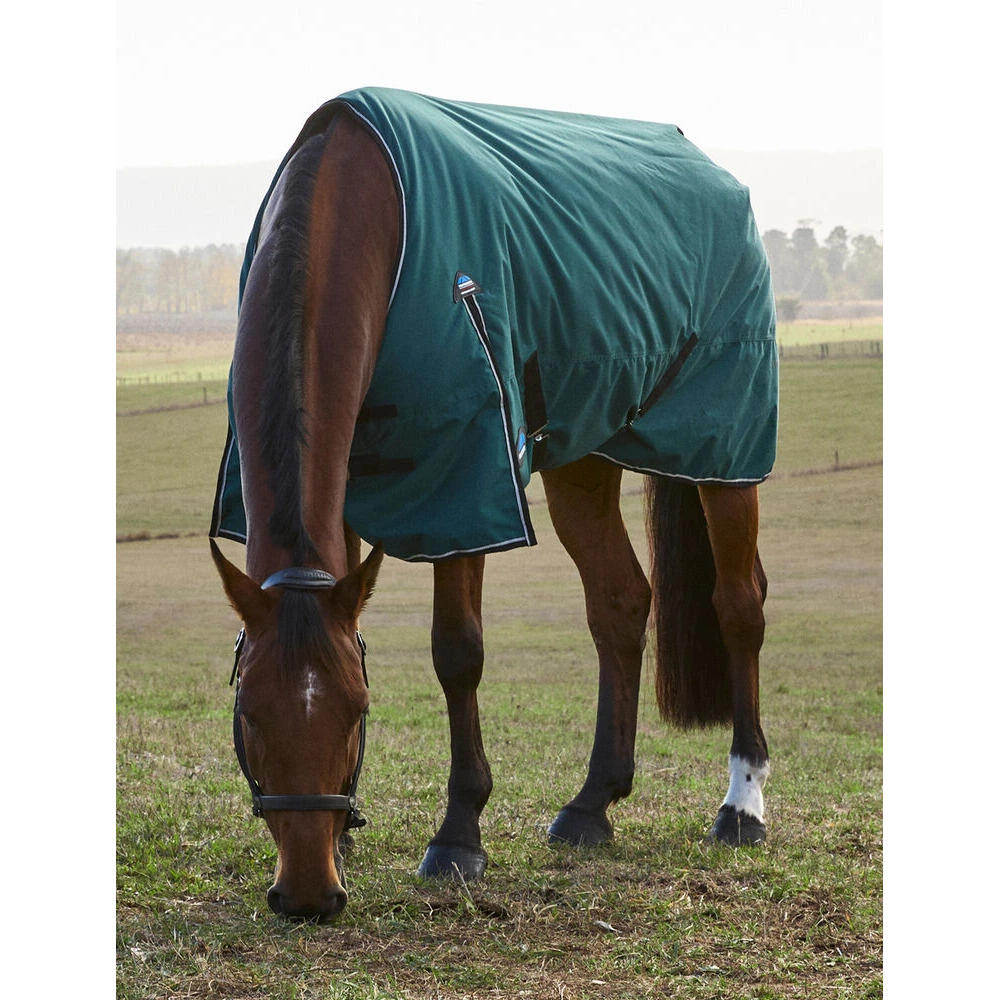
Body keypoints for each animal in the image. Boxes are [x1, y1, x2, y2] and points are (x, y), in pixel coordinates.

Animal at [209, 89, 776, 921]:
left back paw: (741, 803)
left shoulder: (466, 478)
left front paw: (458, 836)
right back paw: (591, 804)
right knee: (619, 602)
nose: (309, 892)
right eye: (248, 713)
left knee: (739, 604)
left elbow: (458, 652)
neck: (363, 205)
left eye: (357, 709)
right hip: (582, 456)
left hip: (723, 449)